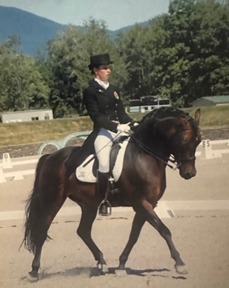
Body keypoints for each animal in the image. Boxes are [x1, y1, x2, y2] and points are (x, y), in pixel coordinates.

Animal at [21, 107, 200, 280]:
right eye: (184, 140)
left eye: (198, 141)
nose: (189, 173)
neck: (144, 155)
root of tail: (49, 157)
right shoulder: (141, 203)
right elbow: (164, 230)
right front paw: (180, 264)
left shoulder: (146, 204)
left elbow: (134, 235)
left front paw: (121, 265)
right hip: (52, 199)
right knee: (42, 231)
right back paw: (34, 272)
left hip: (89, 204)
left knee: (83, 231)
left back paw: (101, 262)